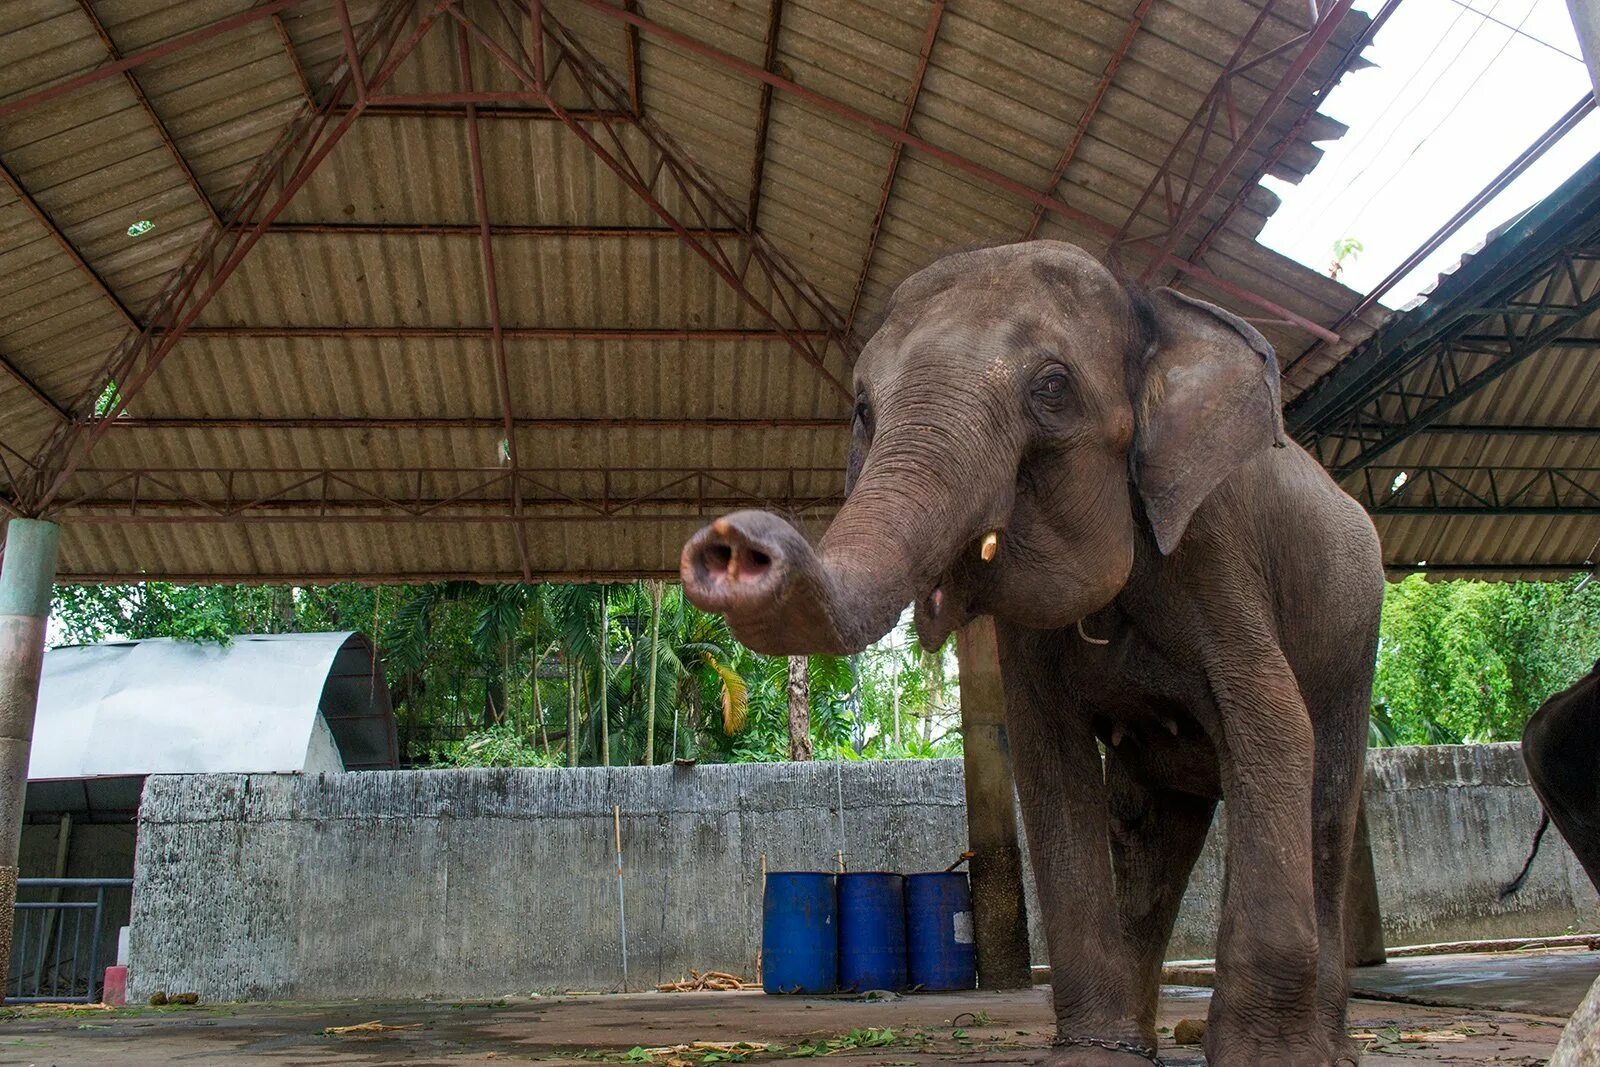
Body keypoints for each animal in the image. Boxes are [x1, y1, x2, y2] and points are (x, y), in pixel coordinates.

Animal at [681, 244, 1382, 1067]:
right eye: (862, 409)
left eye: (1052, 387)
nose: (732, 543)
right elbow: (1049, 764)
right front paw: (1093, 1057)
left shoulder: (1218, 551)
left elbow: (1272, 728)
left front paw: (1268, 1060)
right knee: (1149, 827)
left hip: (1353, 639)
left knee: (1323, 802)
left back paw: (1327, 1049)